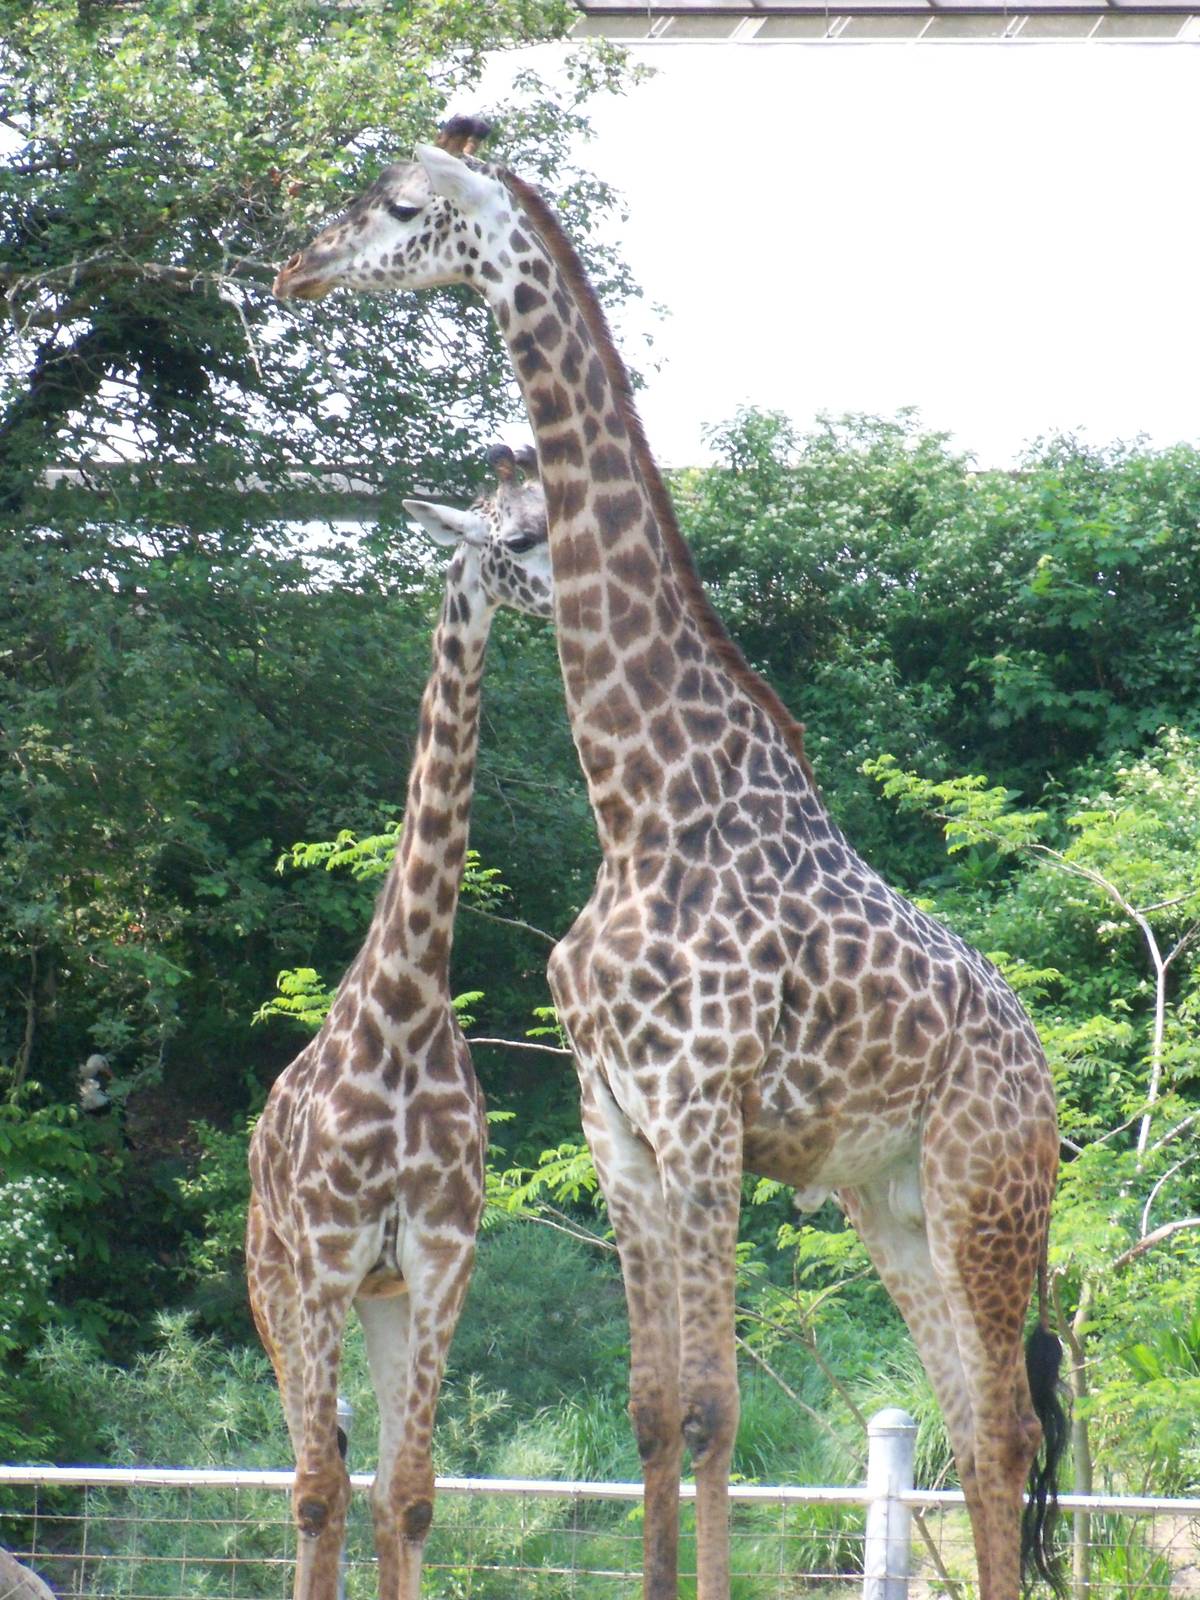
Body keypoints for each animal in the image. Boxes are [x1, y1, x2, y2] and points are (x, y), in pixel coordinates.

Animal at [246, 440, 551, 1600]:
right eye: (520, 535)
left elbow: (411, 1495)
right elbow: (318, 1492)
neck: (408, 1009)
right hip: (275, 1282)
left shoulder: (437, 1258)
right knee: (313, 1475)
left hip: (379, 1299)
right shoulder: (328, 1258)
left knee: (360, 1469)